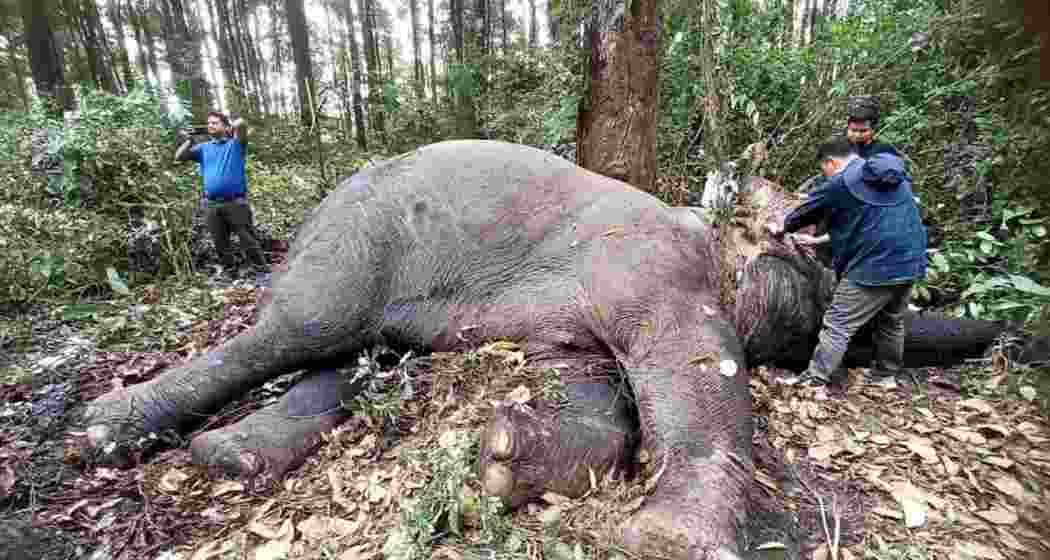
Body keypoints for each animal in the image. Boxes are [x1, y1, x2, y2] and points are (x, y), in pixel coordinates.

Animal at [79, 140, 1027, 559]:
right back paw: (104, 432)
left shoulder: (568, 330)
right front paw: (667, 542)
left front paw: (500, 461)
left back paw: (230, 460)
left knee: (344, 359)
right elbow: (695, 372)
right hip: (353, 245)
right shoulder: (654, 267)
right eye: (821, 279)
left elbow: (594, 401)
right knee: (297, 332)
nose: (1013, 342)